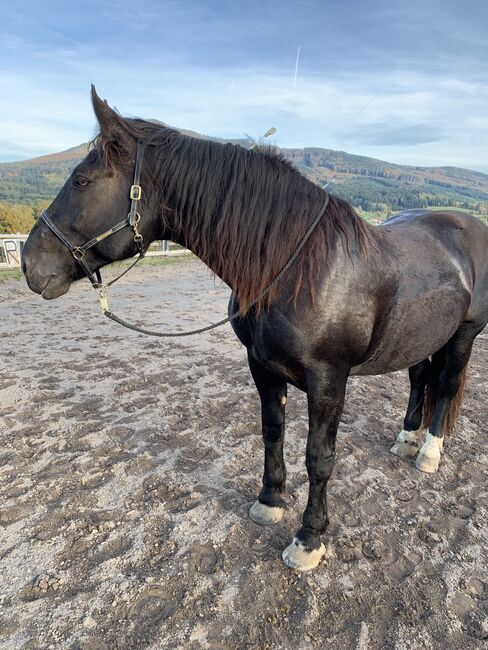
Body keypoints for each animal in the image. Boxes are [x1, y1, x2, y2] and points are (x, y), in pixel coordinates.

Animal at [21, 90, 488, 568]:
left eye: (81, 181)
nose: (27, 263)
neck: (298, 269)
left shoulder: (328, 382)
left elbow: (319, 457)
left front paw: (309, 538)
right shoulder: (262, 367)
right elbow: (272, 432)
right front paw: (270, 501)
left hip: (463, 336)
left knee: (445, 386)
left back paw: (428, 452)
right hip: (422, 336)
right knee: (419, 378)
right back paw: (407, 439)